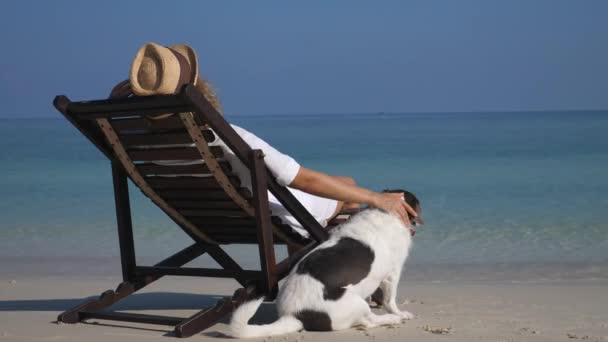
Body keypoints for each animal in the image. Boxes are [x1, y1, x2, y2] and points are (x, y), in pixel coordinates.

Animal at [230, 191, 420, 338]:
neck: (385, 212)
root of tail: (294, 315)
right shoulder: (392, 274)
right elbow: (390, 300)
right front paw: (398, 312)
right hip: (354, 301)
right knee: (368, 322)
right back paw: (392, 319)